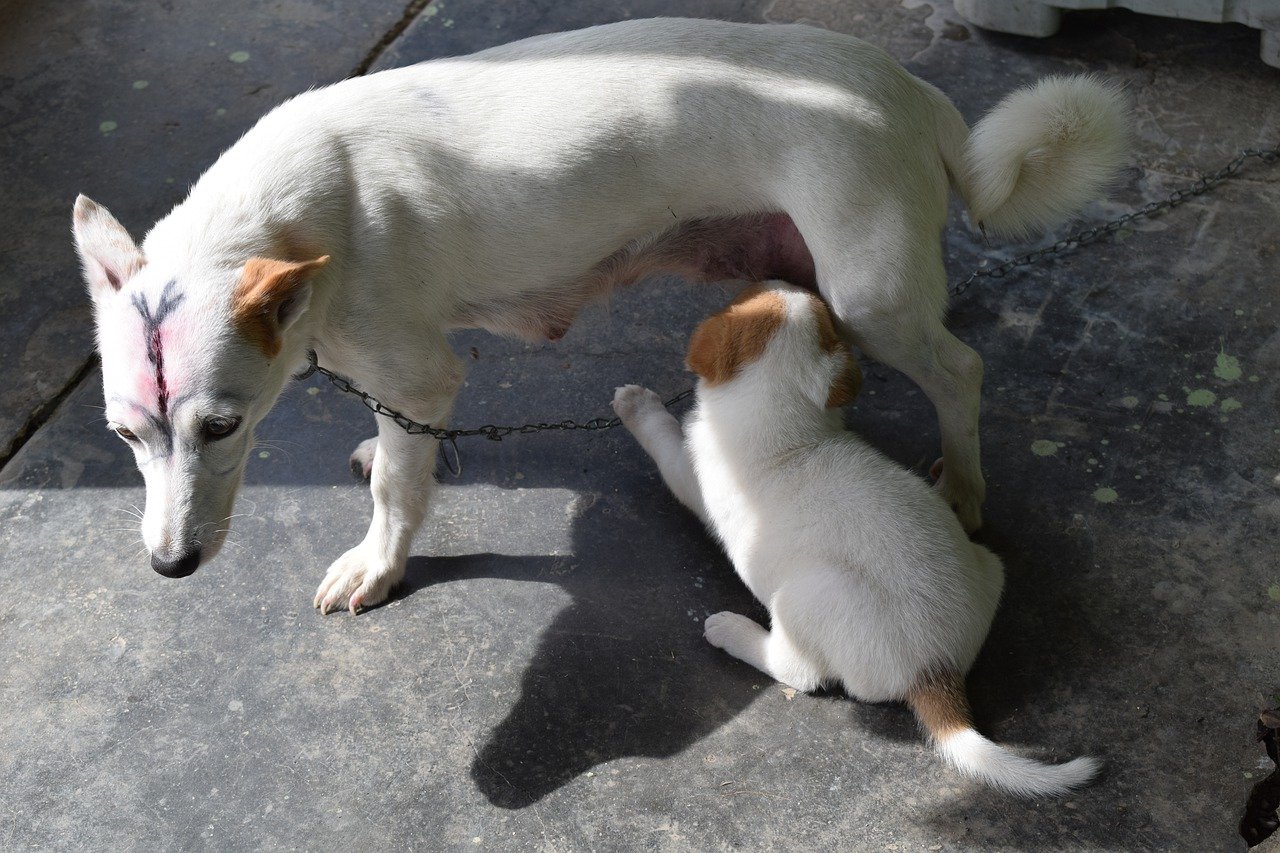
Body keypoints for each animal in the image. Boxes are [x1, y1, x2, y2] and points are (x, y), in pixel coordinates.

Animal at [74, 14, 1126, 612]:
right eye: (124, 436)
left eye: (222, 427)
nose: (169, 567)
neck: (288, 217)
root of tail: (908, 86)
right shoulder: (387, 372)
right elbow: (397, 446)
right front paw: (383, 450)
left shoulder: (422, 371)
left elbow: (399, 494)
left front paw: (380, 562)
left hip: (876, 295)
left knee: (963, 370)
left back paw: (966, 491)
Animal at [614, 281, 1095, 794]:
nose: (789, 278)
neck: (788, 431)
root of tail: (936, 670)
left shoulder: (693, 474)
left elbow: (664, 442)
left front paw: (636, 404)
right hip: (987, 563)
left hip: (803, 597)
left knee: (798, 672)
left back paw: (731, 630)